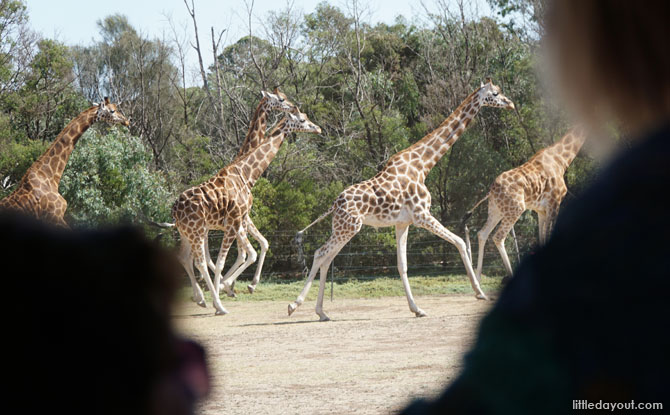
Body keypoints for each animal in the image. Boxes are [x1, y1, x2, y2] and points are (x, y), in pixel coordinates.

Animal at [172, 110, 322, 316]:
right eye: (302, 120)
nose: (318, 128)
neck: (247, 174)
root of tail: (174, 209)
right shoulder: (235, 221)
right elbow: (231, 259)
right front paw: (225, 291)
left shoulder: (239, 221)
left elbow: (250, 251)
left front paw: (228, 287)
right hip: (197, 232)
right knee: (200, 262)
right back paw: (217, 303)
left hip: (188, 233)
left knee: (185, 258)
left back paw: (202, 299)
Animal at [288, 81, 516, 322]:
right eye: (495, 93)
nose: (510, 103)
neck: (424, 164)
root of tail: (335, 204)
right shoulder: (422, 215)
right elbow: (460, 242)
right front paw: (479, 293)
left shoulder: (402, 223)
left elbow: (402, 265)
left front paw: (417, 309)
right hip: (348, 227)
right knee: (321, 254)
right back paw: (294, 305)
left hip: (342, 228)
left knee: (326, 258)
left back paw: (322, 312)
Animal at [464, 128, 584, 282]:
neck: (562, 160)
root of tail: (491, 190)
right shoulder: (554, 203)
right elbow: (548, 235)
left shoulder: (541, 210)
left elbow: (542, 237)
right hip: (515, 210)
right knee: (498, 237)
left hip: (496, 210)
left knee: (482, 234)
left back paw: (478, 280)